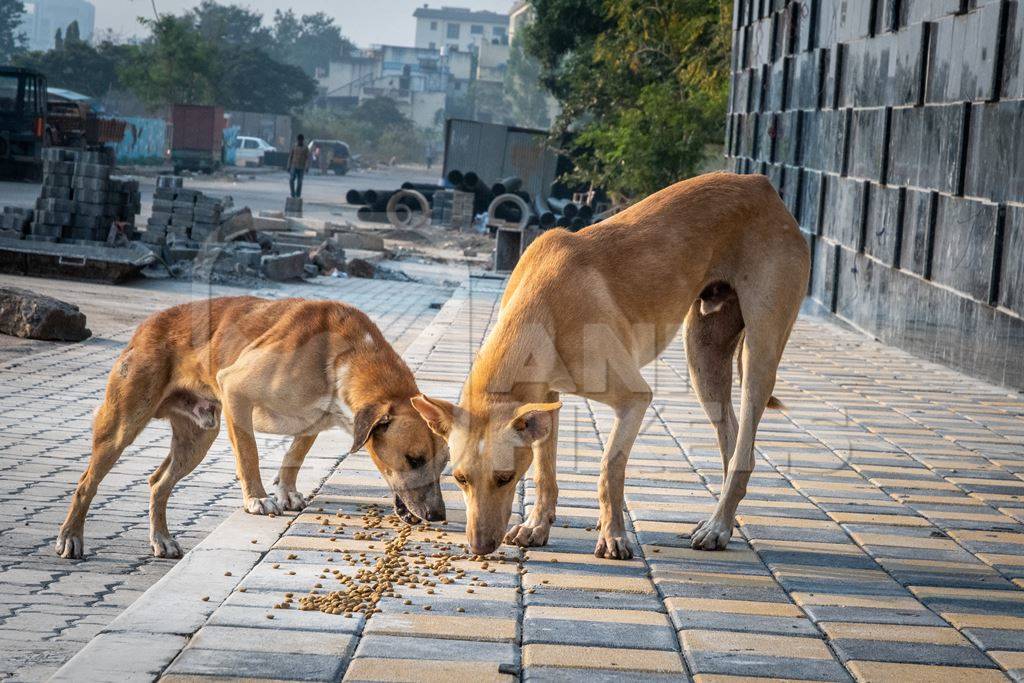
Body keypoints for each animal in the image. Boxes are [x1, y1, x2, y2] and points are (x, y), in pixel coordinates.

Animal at [55, 296, 448, 557]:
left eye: (443, 465)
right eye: (413, 459)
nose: (438, 516)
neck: (345, 355)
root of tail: (148, 324)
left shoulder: (314, 420)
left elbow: (294, 455)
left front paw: (286, 492)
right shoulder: (235, 391)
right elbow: (250, 454)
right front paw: (257, 497)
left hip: (199, 438)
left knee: (158, 483)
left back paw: (161, 538)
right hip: (122, 426)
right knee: (86, 483)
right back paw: (71, 536)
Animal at [411, 175, 811, 561]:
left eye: (505, 478)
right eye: (460, 478)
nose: (479, 547)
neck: (542, 306)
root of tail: (762, 186)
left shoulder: (634, 400)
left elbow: (609, 469)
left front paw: (613, 536)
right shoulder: (546, 397)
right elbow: (544, 470)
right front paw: (537, 525)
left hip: (757, 356)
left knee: (745, 445)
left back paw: (718, 527)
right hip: (705, 358)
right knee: (732, 443)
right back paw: (721, 522)